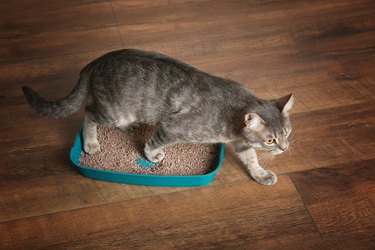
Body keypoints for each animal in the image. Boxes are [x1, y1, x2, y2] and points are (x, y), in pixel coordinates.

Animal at [22, 48, 296, 186]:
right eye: (271, 140)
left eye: (287, 133)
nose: (284, 148)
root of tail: (96, 61)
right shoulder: (173, 126)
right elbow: (154, 142)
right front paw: (152, 155)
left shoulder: (240, 142)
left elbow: (251, 158)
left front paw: (260, 174)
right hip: (114, 111)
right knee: (87, 114)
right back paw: (91, 142)